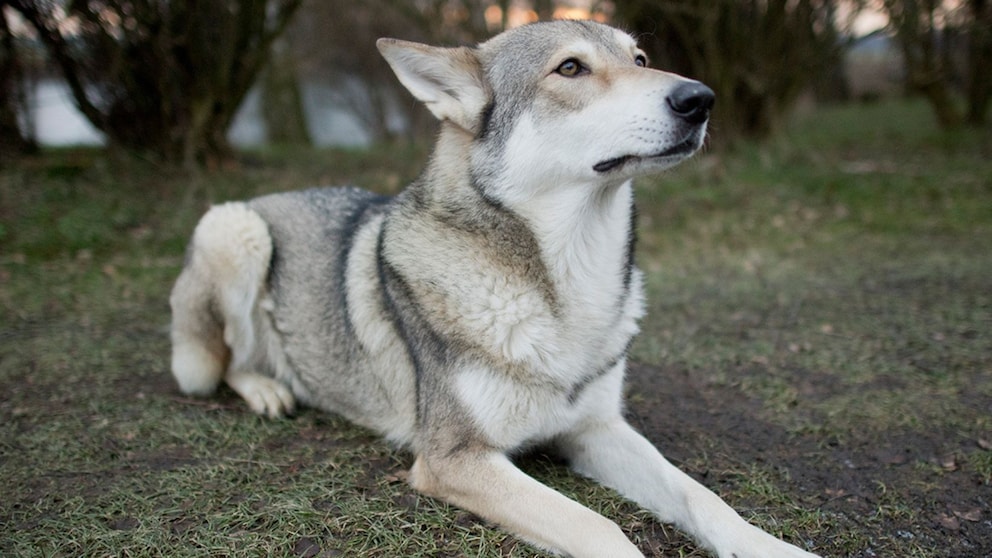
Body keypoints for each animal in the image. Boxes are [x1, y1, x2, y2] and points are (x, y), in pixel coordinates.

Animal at [170, 18, 820, 558]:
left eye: (640, 59)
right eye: (571, 68)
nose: (700, 98)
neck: (567, 286)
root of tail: (268, 196)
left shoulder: (597, 429)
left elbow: (702, 497)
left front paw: (774, 549)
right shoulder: (454, 458)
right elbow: (599, 527)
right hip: (235, 232)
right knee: (226, 363)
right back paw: (267, 390)